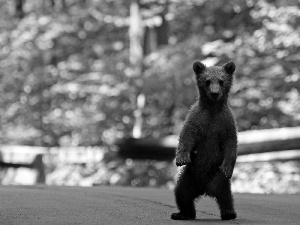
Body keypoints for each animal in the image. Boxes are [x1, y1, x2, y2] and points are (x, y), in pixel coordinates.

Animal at [171, 60, 239, 221]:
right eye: (207, 81)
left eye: (221, 81)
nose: (214, 93)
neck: (213, 108)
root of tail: (204, 189)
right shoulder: (197, 117)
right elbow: (187, 136)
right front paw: (181, 158)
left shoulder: (226, 122)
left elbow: (230, 144)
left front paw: (228, 167)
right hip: (189, 176)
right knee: (181, 193)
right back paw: (182, 213)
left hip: (217, 176)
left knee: (225, 195)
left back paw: (229, 213)